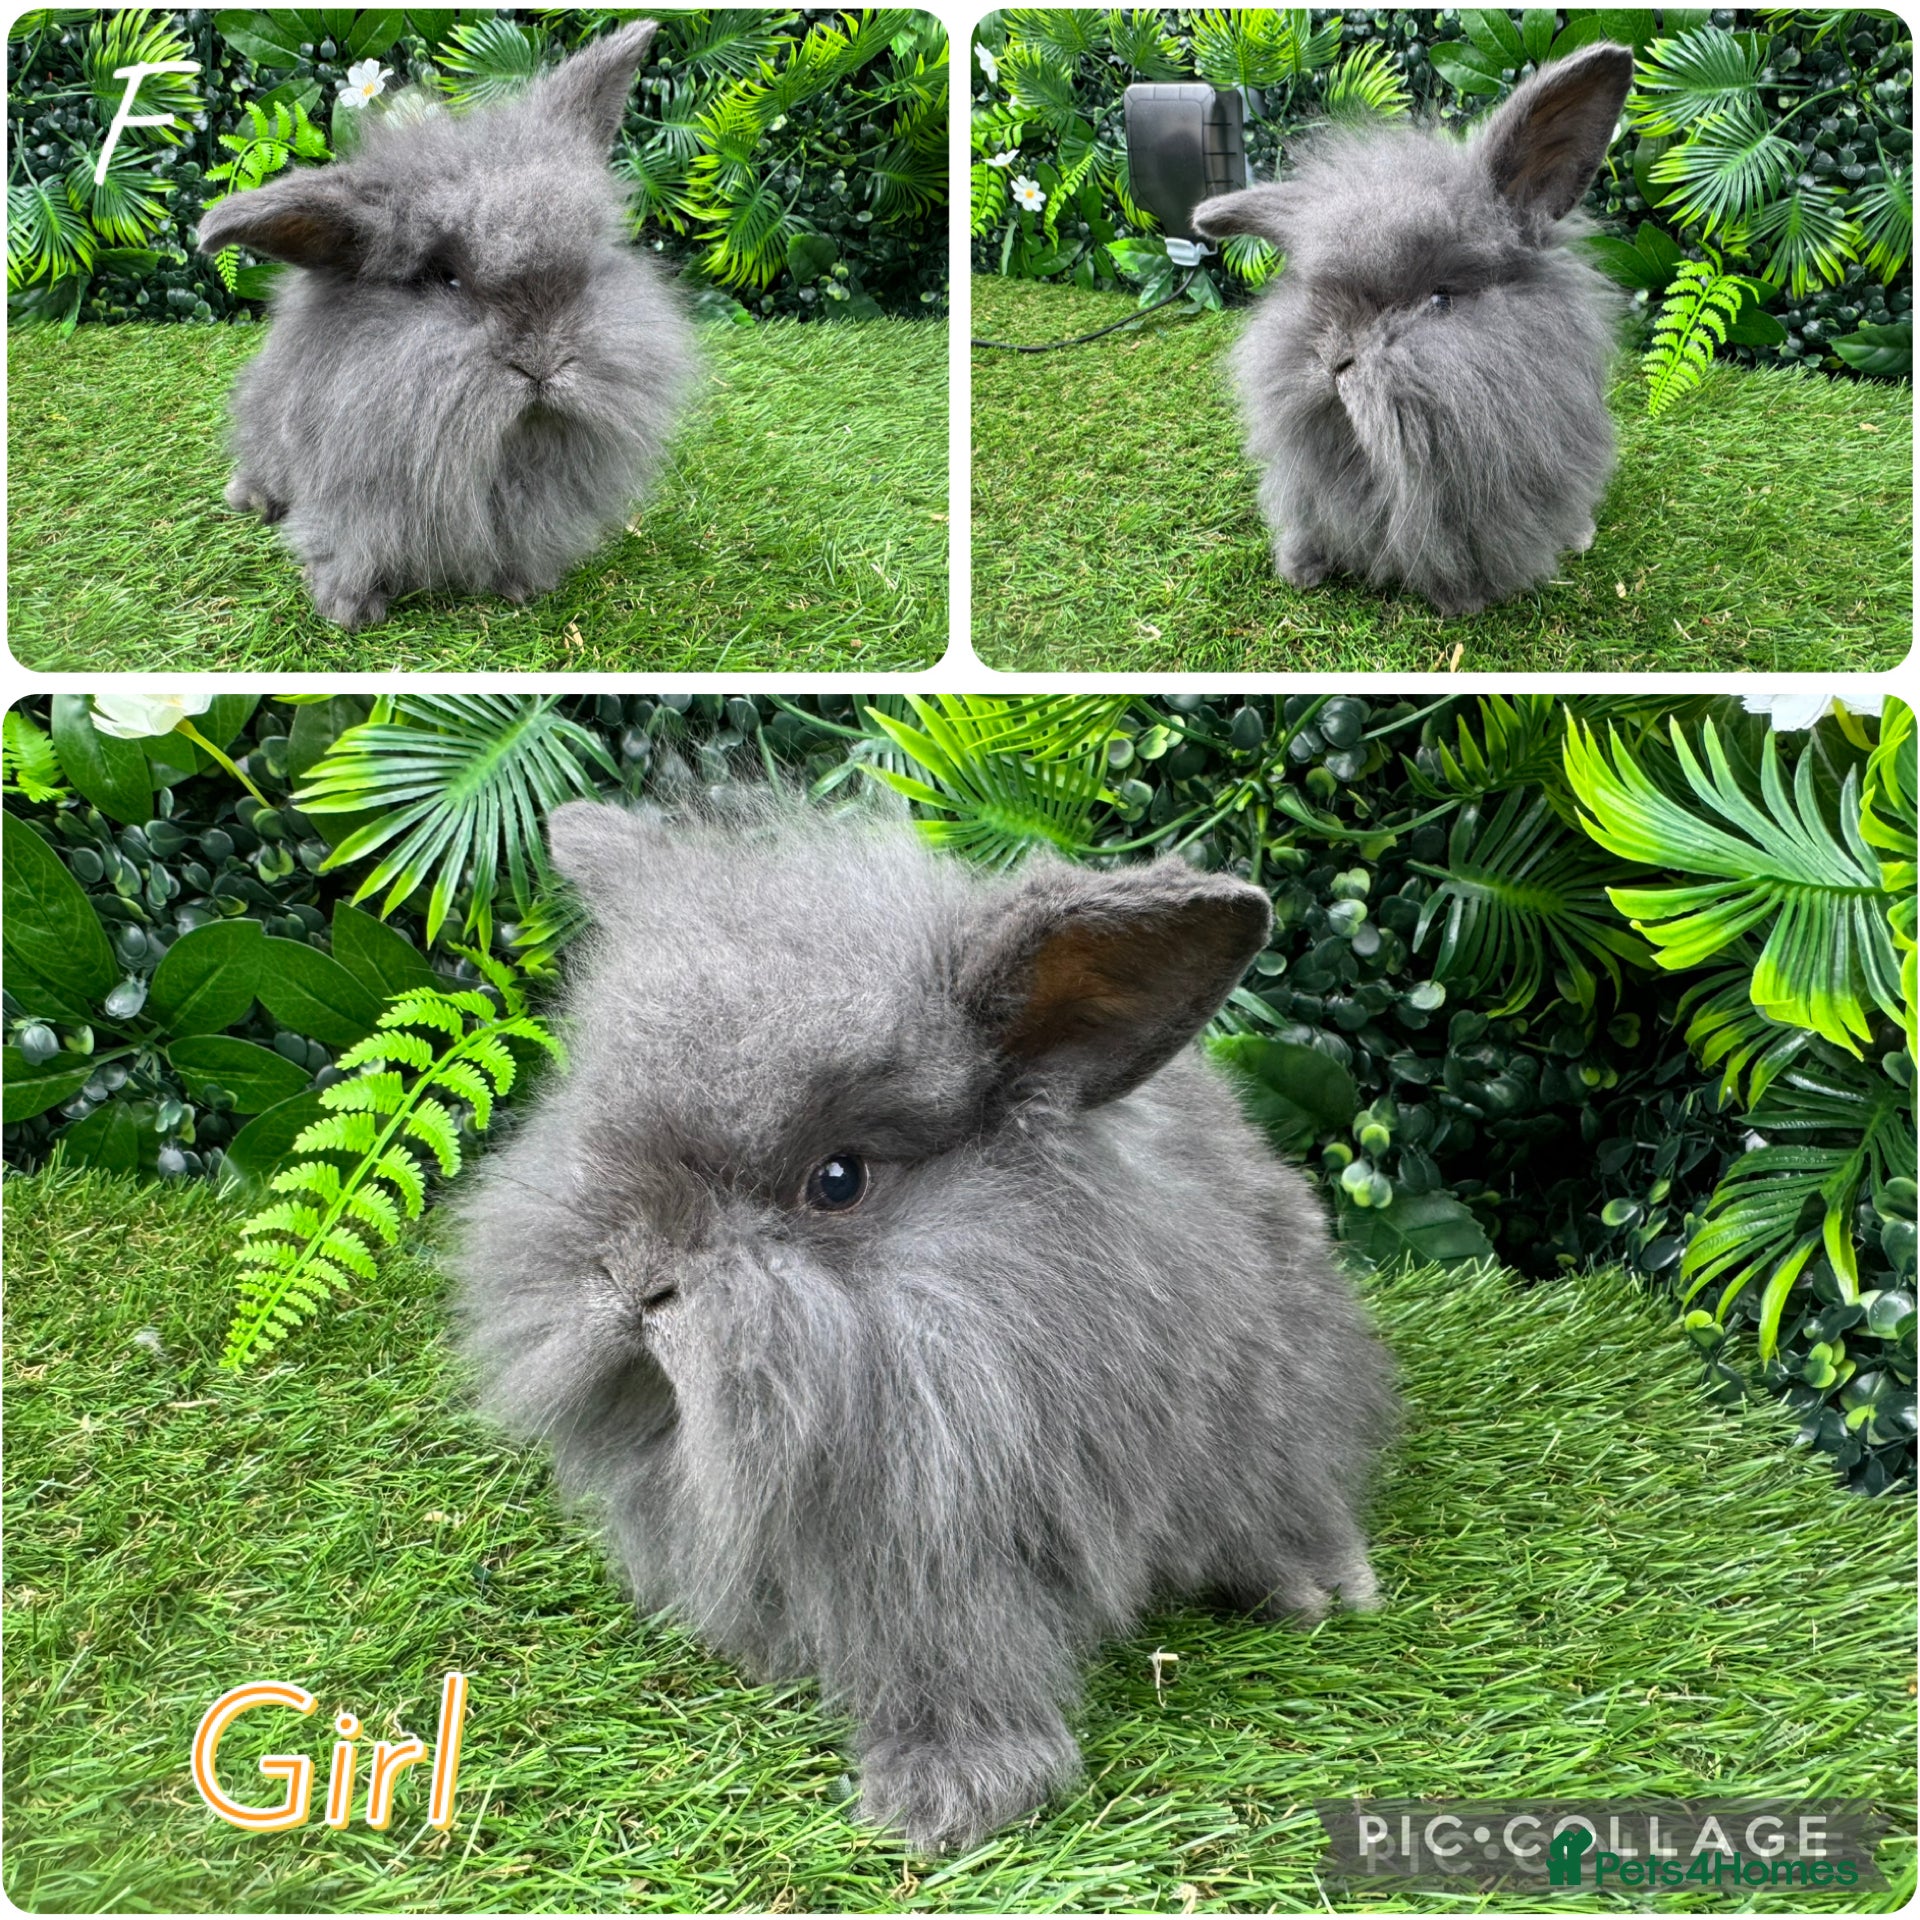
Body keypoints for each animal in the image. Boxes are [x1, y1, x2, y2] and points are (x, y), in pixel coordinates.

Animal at [195, 20, 695, 631]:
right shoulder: (353, 501)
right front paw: (347, 611)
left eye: (586, 263)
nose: (542, 363)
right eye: (446, 279)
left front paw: (524, 588)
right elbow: (351, 549)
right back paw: (251, 500)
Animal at [449, 797, 1398, 1855]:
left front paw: (946, 1797)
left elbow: (957, 1657)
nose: (633, 1280)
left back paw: (1318, 1589)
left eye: (838, 1181)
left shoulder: (948, 1536)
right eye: (596, 1120)